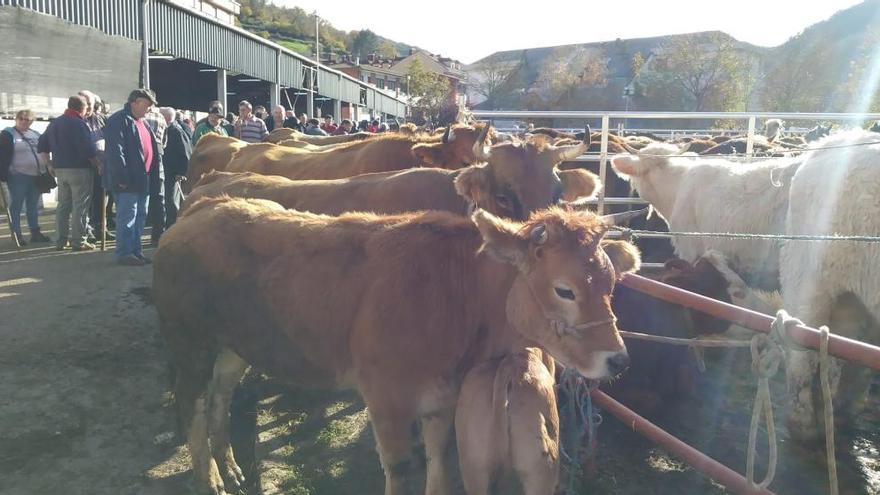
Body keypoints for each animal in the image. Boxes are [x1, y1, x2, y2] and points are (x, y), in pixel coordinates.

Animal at [155, 198, 640, 495]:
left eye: (612, 284)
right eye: (565, 290)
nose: (618, 358)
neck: (451, 292)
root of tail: (206, 206)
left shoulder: (441, 399)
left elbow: (439, 464)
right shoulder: (385, 398)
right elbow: (401, 468)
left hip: (232, 345)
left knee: (219, 395)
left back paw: (231, 466)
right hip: (188, 342)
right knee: (190, 404)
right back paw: (210, 478)